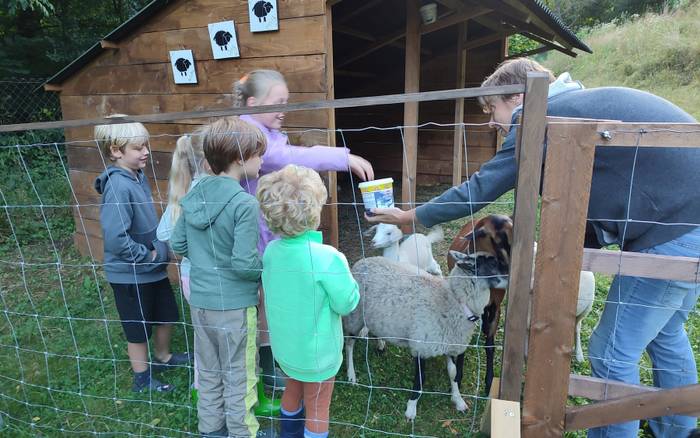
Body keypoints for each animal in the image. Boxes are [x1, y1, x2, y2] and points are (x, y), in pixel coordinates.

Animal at [344, 252, 508, 420]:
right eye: (493, 263)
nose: (510, 275)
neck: (454, 301)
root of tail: (361, 262)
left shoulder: (452, 344)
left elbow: (454, 373)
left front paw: (458, 400)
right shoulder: (420, 347)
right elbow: (421, 378)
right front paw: (411, 409)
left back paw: (381, 344)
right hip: (354, 316)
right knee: (349, 344)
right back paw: (351, 375)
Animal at [448, 214, 516, 396]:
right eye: (499, 239)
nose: (508, 272)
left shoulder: (495, 307)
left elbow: (490, 345)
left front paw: (489, 382)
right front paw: (458, 376)